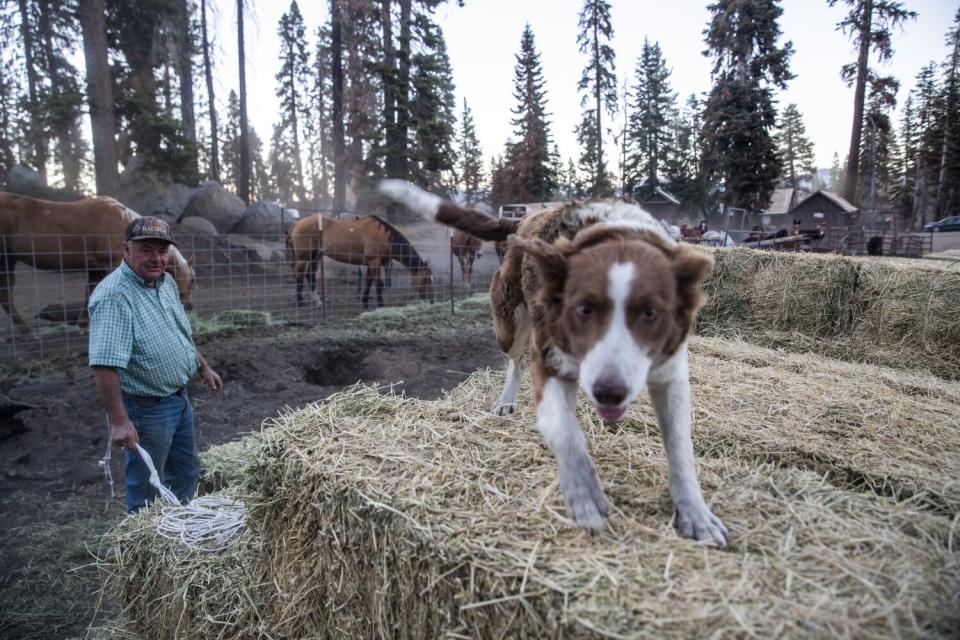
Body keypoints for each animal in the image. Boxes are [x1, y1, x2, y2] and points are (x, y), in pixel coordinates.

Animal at [0, 192, 197, 336]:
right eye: (192, 281)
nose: (189, 306)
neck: (123, 222)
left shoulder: (95, 268)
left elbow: (90, 292)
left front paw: (84, 325)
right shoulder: (113, 265)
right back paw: (26, 331)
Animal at [286, 212, 434, 308]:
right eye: (426, 279)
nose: (432, 300)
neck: (384, 237)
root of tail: (297, 223)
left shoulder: (373, 264)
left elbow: (369, 282)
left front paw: (365, 302)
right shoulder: (374, 262)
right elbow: (378, 284)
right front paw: (381, 305)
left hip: (315, 256)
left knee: (309, 275)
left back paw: (318, 302)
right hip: (303, 258)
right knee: (299, 276)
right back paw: (300, 302)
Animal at [378, 180, 732, 544]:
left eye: (650, 313)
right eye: (583, 309)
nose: (609, 391)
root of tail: (523, 220)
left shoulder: (670, 373)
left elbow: (679, 447)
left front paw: (695, 512)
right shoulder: (549, 361)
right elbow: (565, 432)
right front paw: (583, 492)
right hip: (510, 323)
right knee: (515, 361)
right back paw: (506, 399)